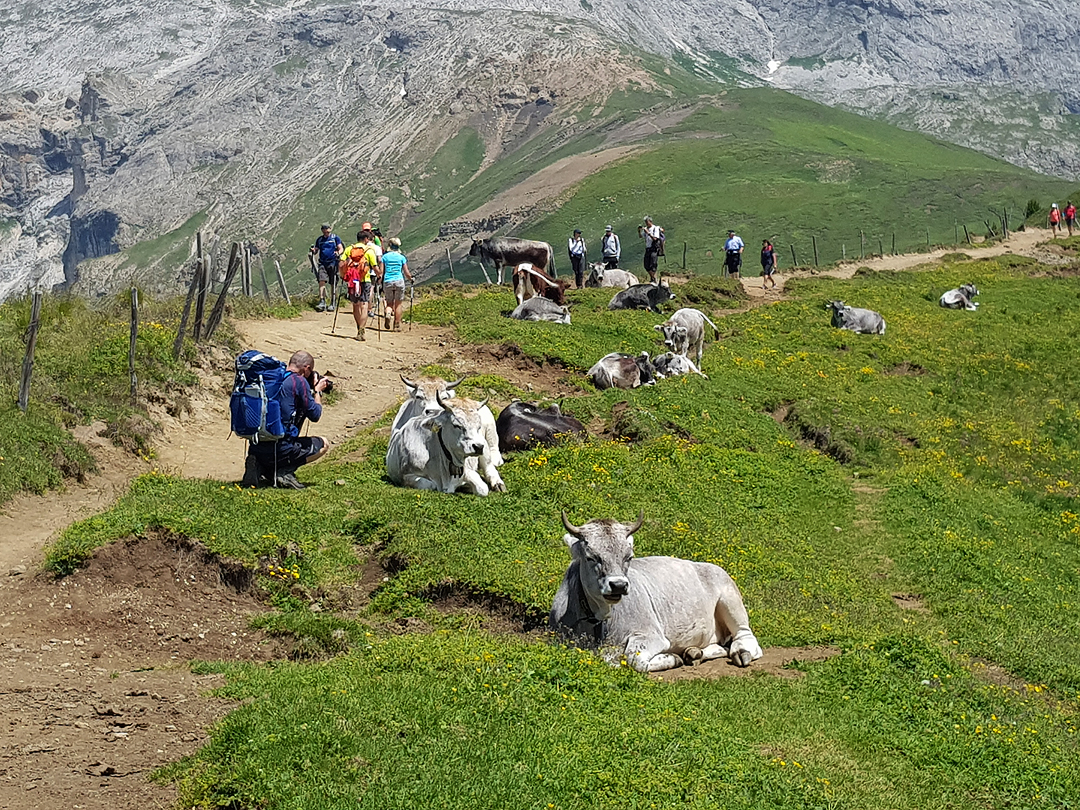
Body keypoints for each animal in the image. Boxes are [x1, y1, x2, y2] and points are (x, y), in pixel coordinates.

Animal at [548, 514, 768, 673]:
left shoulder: (652, 635)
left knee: (746, 637)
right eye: (591, 557)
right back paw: (694, 652)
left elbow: (633, 659)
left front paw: (671, 658)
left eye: (629, 557)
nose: (618, 585)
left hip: (730, 598)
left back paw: (741, 652)